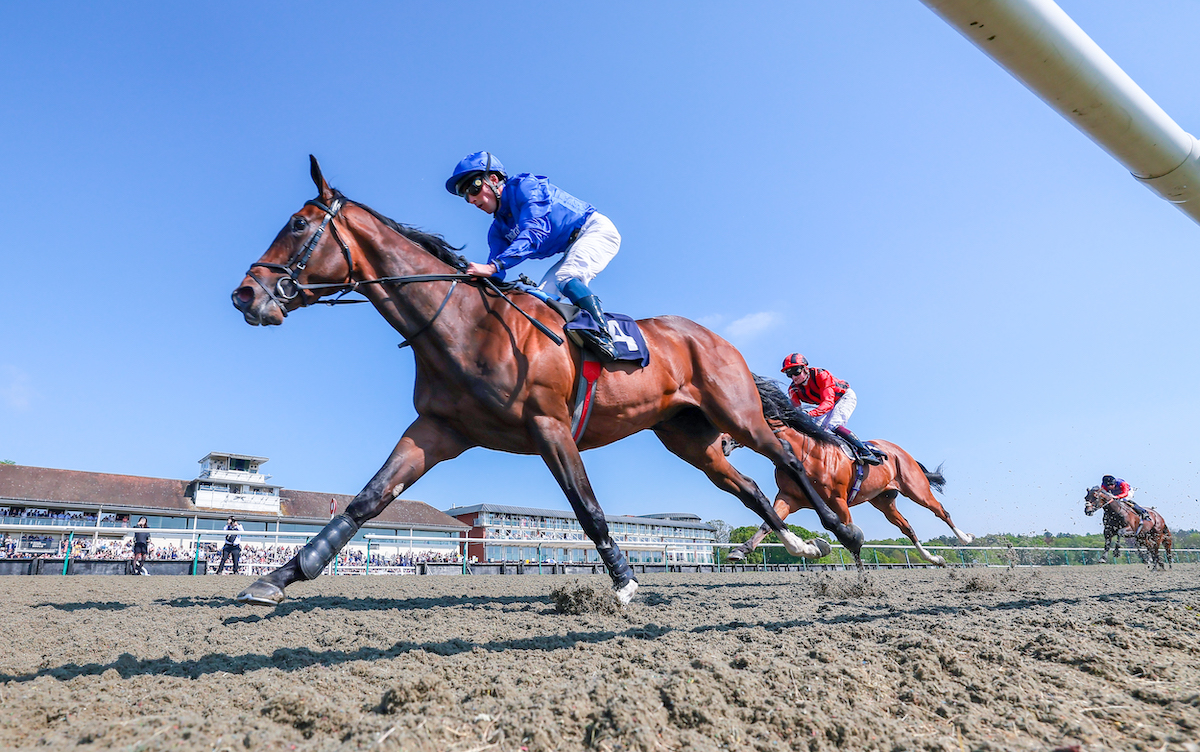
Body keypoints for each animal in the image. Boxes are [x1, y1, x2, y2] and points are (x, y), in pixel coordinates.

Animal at [226, 157, 864, 606]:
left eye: (298, 224)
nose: (245, 295)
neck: (464, 325)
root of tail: (715, 337)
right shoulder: (437, 428)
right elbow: (367, 499)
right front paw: (281, 576)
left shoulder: (548, 424)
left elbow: (587, 506)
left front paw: (626, 581)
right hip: (689, 437)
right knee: (750, 487)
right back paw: (802, 544)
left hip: (737, 414)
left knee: (788, 458)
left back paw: (844, 537)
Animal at [720, 378, 974, 568]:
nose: (721, 442)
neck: (804, 450)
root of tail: (901, 451)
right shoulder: (789, 497)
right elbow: (768, 523)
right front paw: (741, 550)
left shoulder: (838, 501)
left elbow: (850, 537)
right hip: (884, 501)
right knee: (906, 527)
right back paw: (933, 558)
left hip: (916, 489)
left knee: (940, 511)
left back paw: (965, 537)